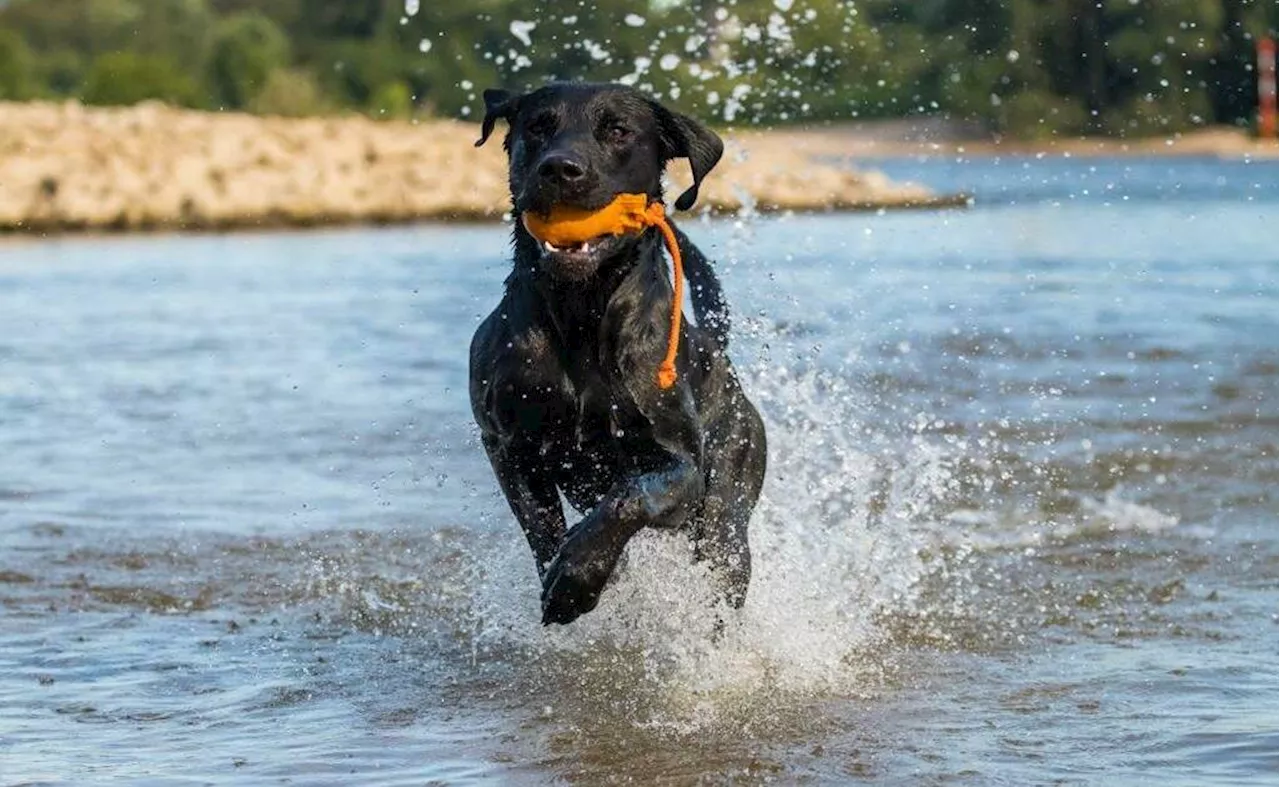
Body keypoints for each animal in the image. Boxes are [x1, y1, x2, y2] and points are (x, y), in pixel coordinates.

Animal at [473, 83, 762, 624]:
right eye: (538, 125)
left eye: (618, 131)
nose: (560, 168)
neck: (581, 313)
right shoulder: (506, 445)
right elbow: (540, 525)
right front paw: (569, 573)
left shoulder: (682, 469)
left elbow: (631, 495)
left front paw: (578, 576)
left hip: (728, 511)